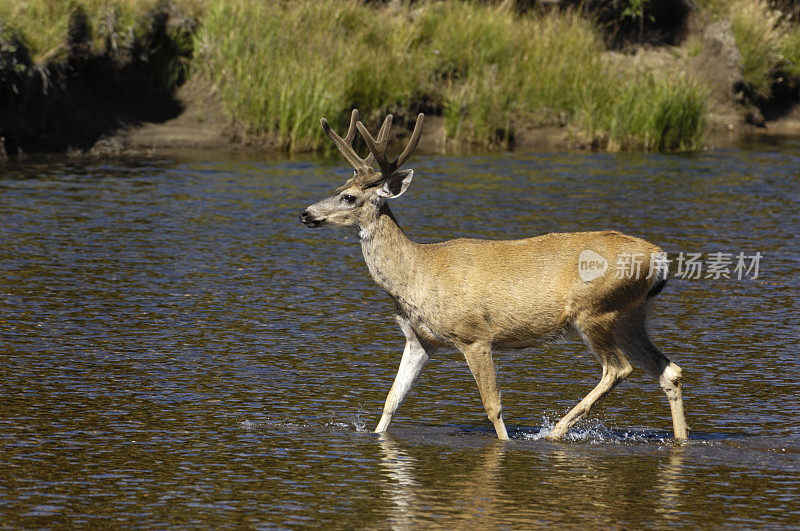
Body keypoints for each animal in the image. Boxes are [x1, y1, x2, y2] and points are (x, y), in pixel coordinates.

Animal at [300, 109, 688, 440]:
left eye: (349, 197)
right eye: (337, 189)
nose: (306, 213)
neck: (416, 273)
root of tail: (658, 258)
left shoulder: (475, 336)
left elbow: (493, 407)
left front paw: (505, 442)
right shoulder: (419, 339)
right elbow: (392, 400)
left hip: (595, 312)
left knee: (619, 369)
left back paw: (554, 432)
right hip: (630, 315)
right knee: (669, 371)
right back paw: (681, 438)